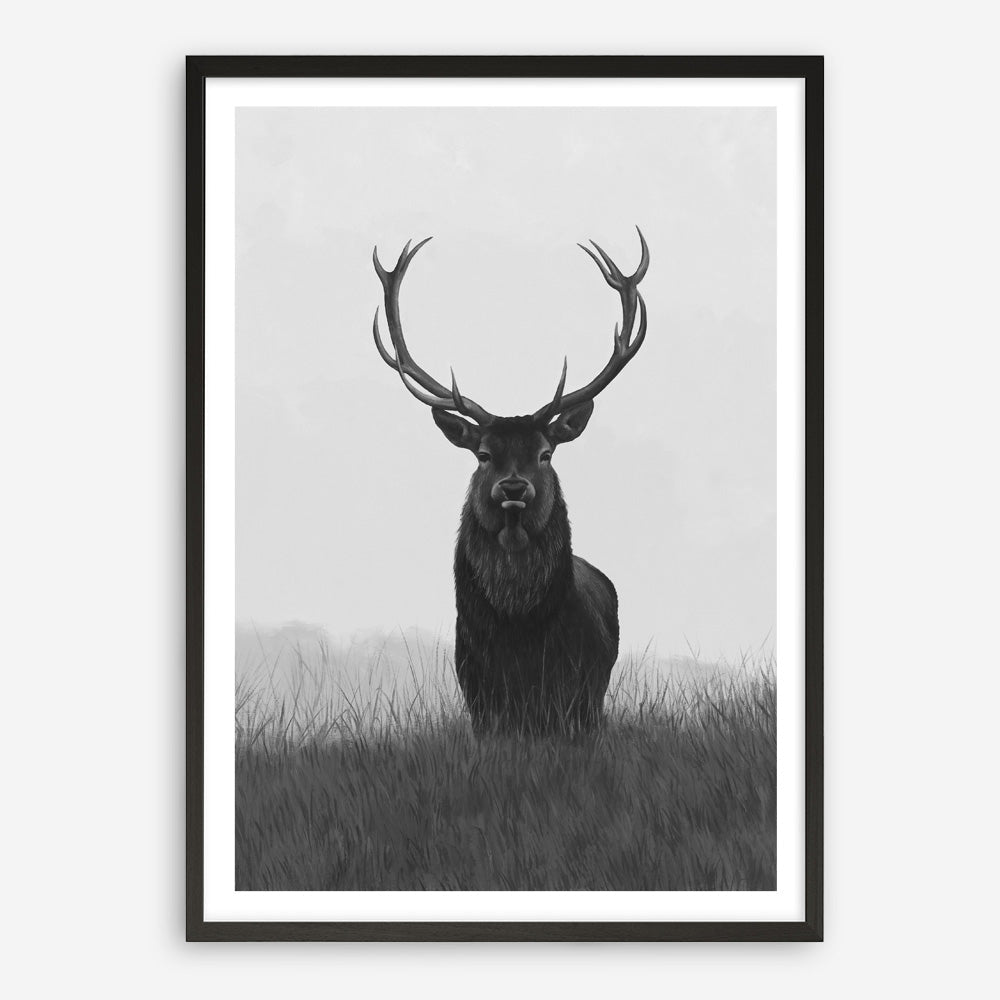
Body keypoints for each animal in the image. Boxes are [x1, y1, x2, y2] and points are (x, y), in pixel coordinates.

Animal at [372, 230, 650, 734]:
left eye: (545, 452)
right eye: (483, 455)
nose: (515, 488)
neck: (520, 637)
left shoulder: (579, 696)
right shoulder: (479, 694)